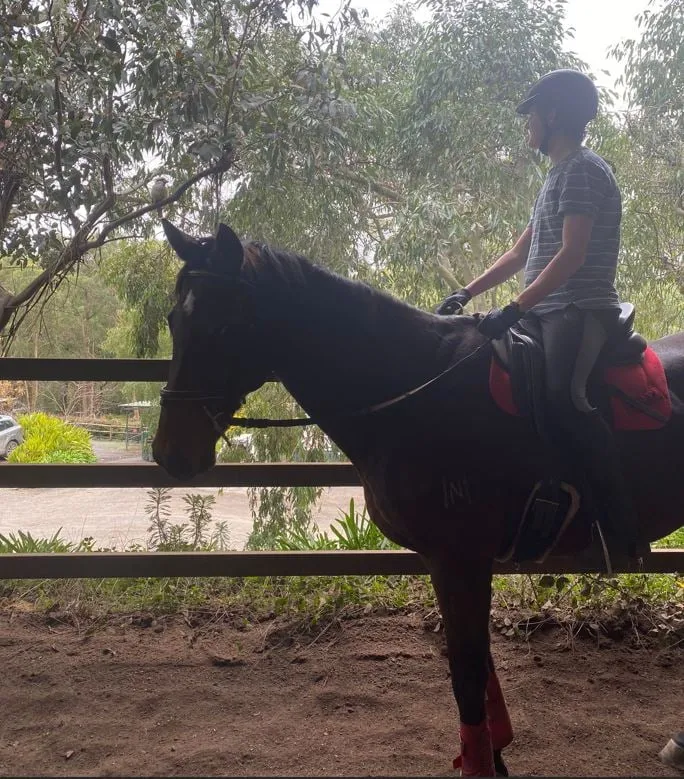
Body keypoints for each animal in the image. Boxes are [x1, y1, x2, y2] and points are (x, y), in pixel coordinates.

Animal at [152, 221, 684, 779]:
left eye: (222, 327)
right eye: (174, 320)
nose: (170, 453)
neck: (416, 390)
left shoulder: (460, 559)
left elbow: (468, 674)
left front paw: (481, 763)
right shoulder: (451, 563)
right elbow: (476, 666)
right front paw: (492, 754)